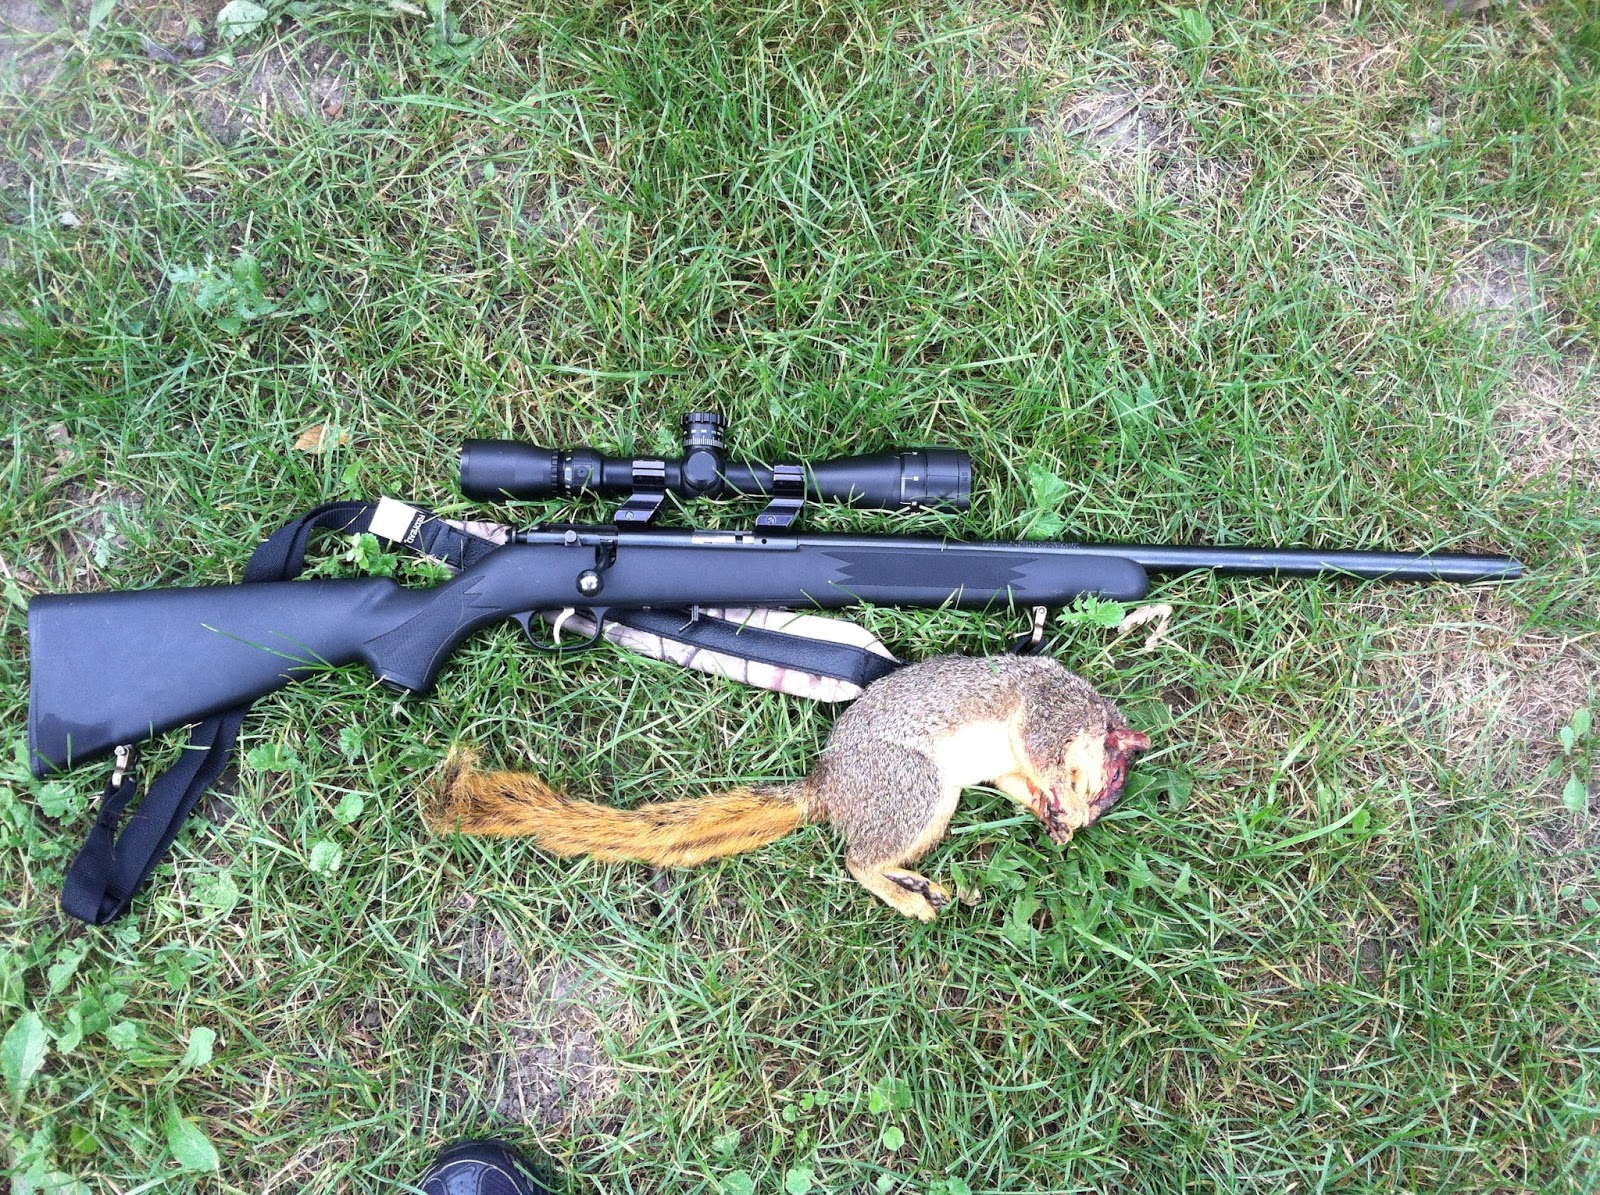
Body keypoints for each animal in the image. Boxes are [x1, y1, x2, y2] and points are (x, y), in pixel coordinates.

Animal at [427, 655, 1152, 920]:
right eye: (1115, 775)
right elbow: (1044, 757)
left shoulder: (1012, 764)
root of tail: (827, 789)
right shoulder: (1045, 712)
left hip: (929, 804)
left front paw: (1053, 815)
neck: (1089, 714)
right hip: (913, 787)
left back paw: (916, 883)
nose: (1098, 812)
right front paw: (1068, 804)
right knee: (858, 860)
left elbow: (1017, 780)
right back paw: (907, 895)